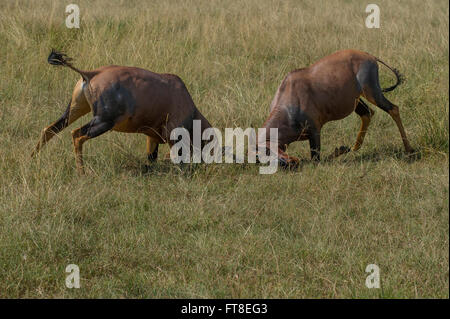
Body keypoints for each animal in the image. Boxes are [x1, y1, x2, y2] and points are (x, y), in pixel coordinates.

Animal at [32, 50, 212, 174]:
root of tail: (91, 74)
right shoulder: (173, 135)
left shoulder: (152, 137)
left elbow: (151, 159)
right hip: (104, 121)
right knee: (76, 134)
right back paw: (82, 173)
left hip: (75, 110)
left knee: (49, 129)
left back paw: (33, 159)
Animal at [260, 49, 414, 169]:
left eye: (267, 151)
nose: (292, 164)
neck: (290, 91)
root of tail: (369, 56)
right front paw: (344, 149)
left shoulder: (315, 131)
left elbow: (317, 160)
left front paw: (341, 149)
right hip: (356, 100)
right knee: (367, 113)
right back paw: (354, 148)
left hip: (372, 93)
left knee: (393, 109)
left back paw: (409, 151)